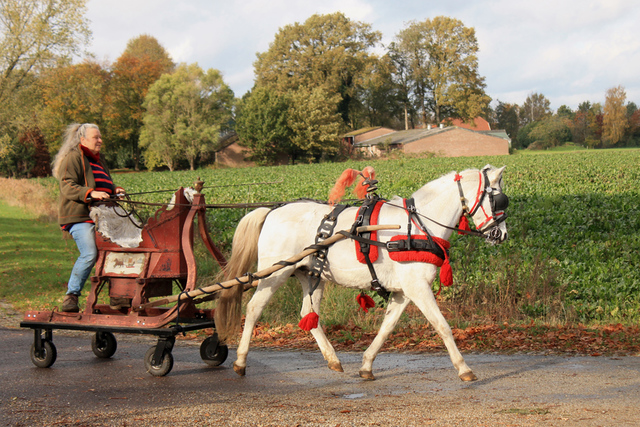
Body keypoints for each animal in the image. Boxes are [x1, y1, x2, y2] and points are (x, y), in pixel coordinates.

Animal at [218, 166, 508, 382]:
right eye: (497, 199)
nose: (501, 235)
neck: (416, 225)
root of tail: (272, 210)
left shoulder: (403, 292)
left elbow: (387, 327)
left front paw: (367, 365)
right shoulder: (417, 288)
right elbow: (442, 325)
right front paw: (464, 368)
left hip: (311, 273)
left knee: (308, 314)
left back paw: (333, 359)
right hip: (274, 274)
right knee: (254, 308)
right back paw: (240, 361)